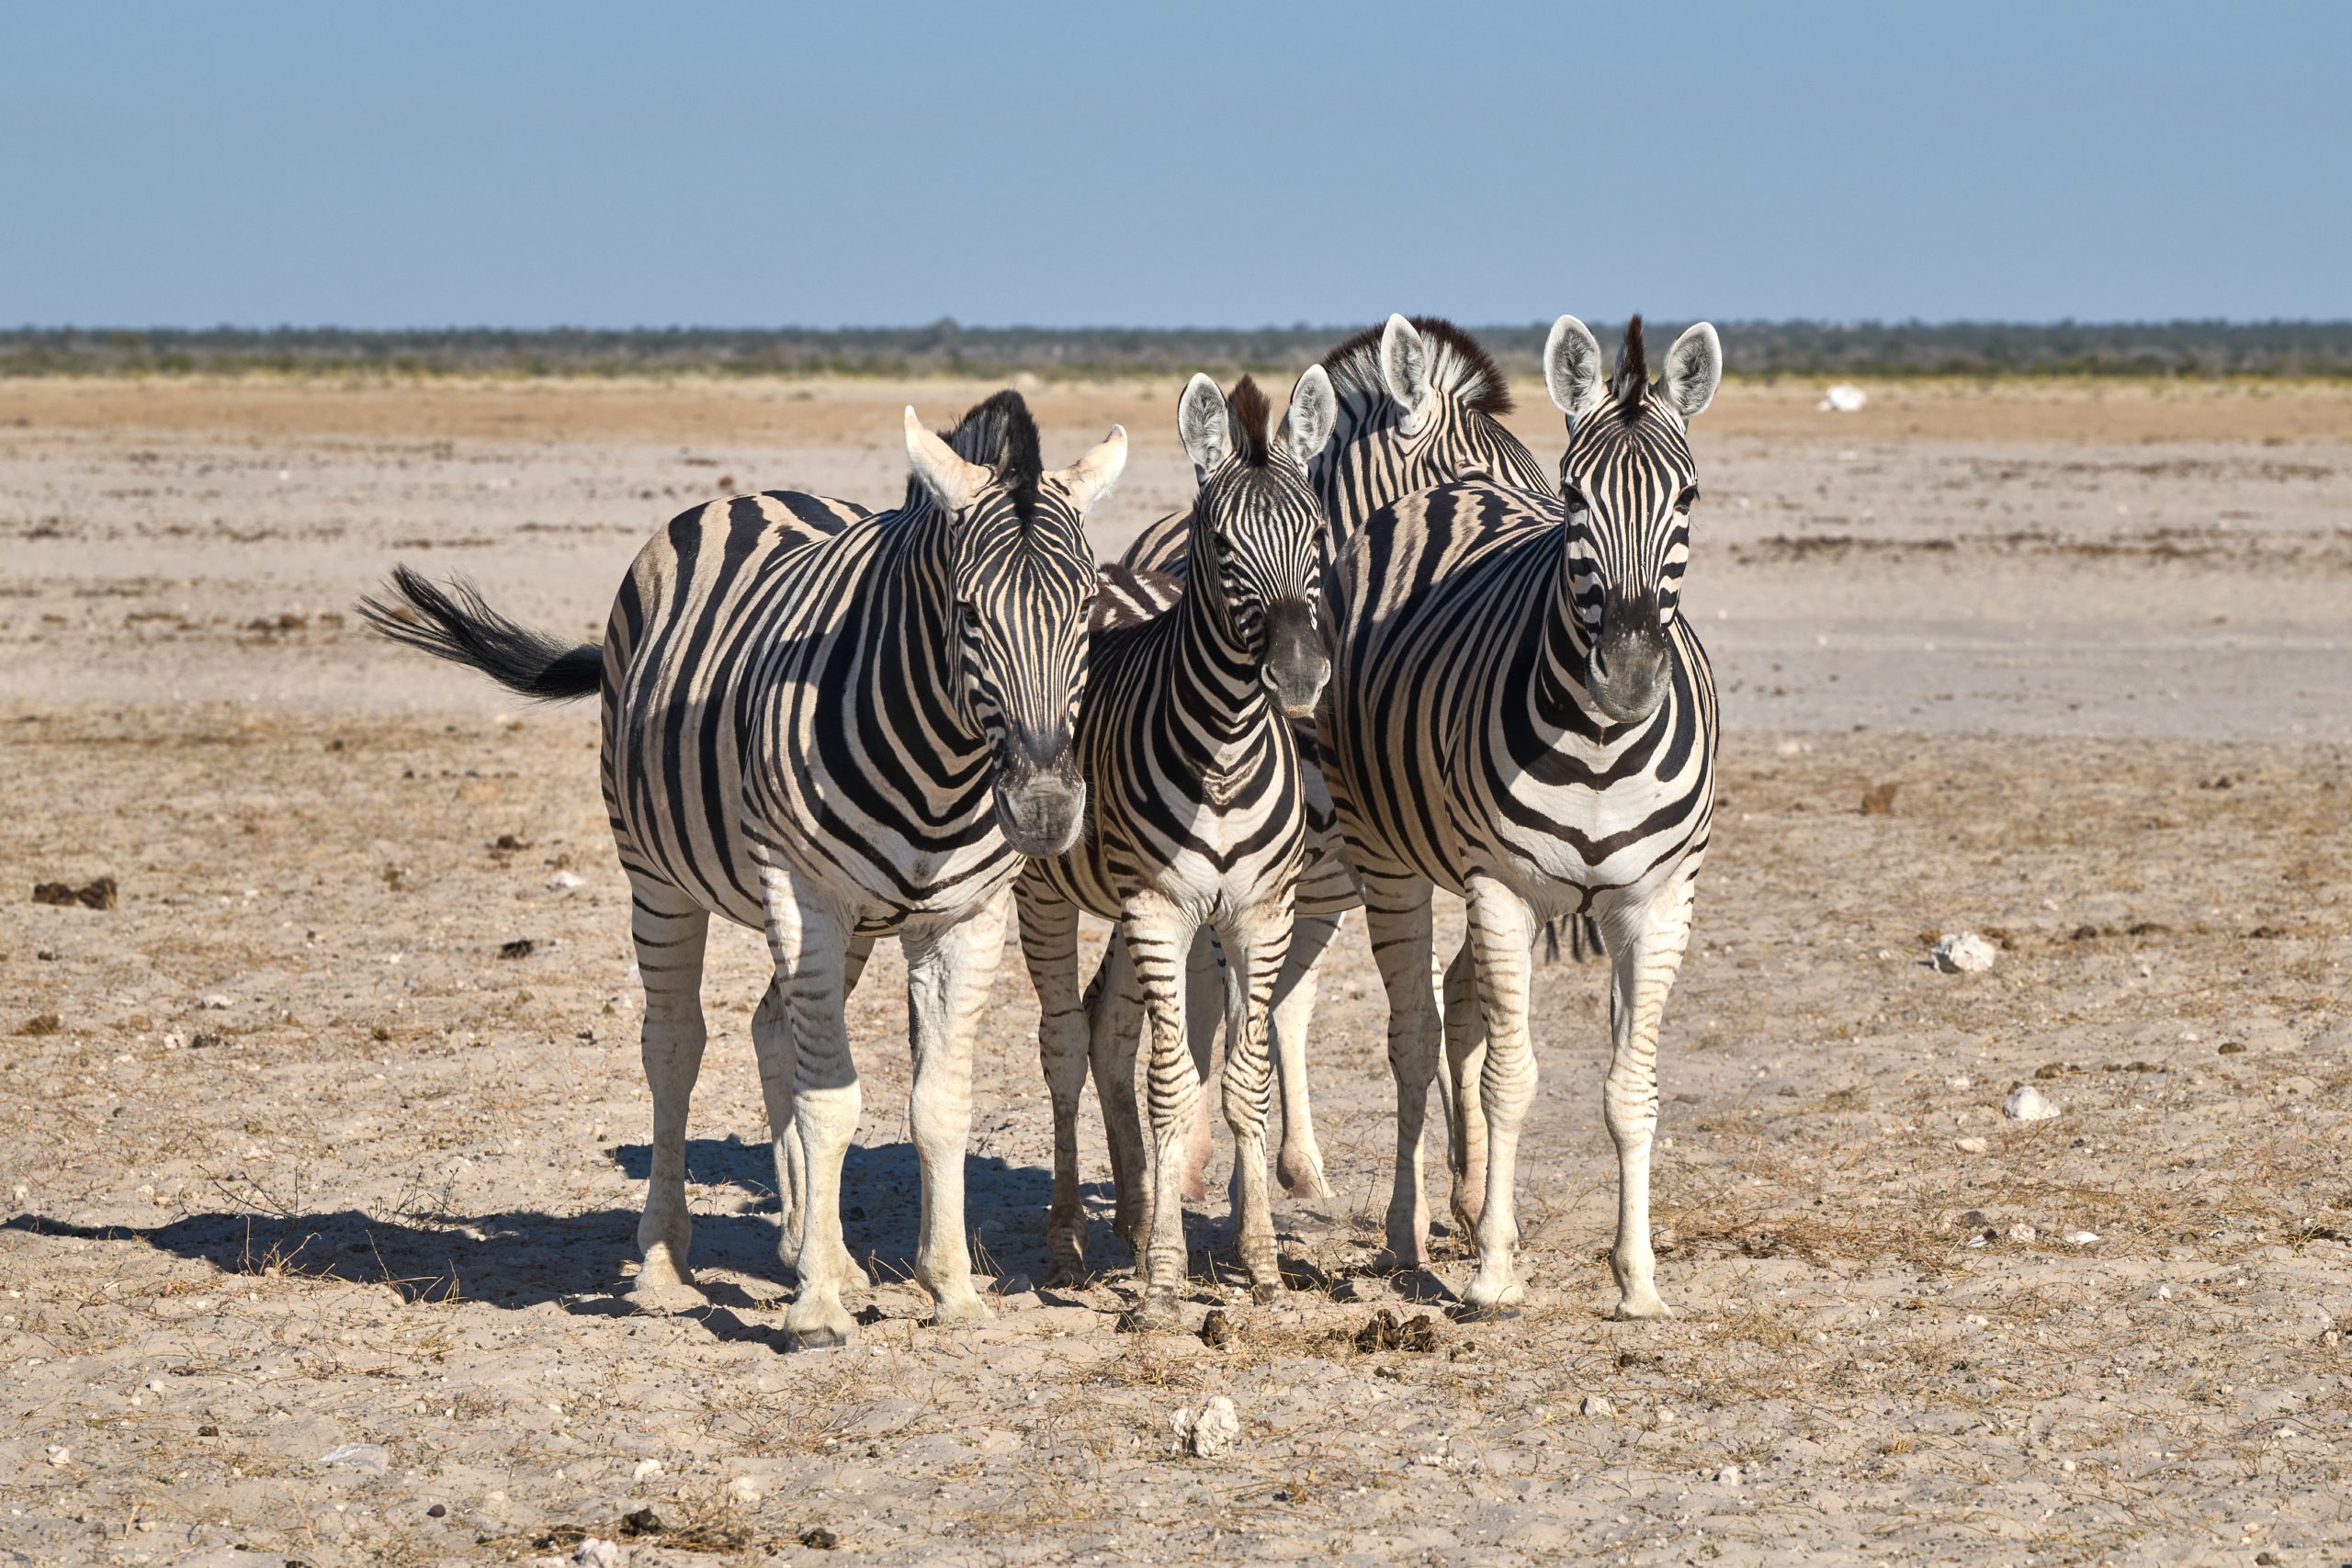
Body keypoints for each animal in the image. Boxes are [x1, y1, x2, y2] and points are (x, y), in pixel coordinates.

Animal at [362, 392, 1124, 1354]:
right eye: (967, 612)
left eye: (1089, 610)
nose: (1046, 810)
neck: (948, 763)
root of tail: (753, 497)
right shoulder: (806, 896)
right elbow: (831, 1100)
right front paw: (819, 1311)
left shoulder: (965, 917)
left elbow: (938, 1103)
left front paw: (948, 1289)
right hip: (660, 876)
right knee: (674, 1047)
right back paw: (665, 1265)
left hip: (846, 922)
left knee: (771, 1029)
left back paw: (811, 1244)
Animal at [1015, 371, 1336, 1325]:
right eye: (1223, 544)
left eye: (1317, 534)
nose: (1299, 676)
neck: (1225, 751)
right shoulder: (1161, 910)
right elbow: (1171, 1086)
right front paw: (1162, 1282)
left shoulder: (1258, 914)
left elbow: (1241, 1082)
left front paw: (1258, 1264)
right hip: (1049, 896)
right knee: (1062, 1042)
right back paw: (1071, 1238)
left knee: (1108, 1028)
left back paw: (1130, 1213)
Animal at [1326, 312, 1731, 1316]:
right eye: (1575, 496)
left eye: (1688, 497)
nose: (1629, 677)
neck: (1600, 744)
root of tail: (1446, 494)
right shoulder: (1499, 889)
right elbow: (1511, 1079)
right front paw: (1495, 1272)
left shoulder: (1658, 902)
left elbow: (1631, 1090)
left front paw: (1638, 1280)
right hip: (1385, 857)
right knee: (1412, 1035)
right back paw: (1408, 1236)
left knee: (1452, 1013)